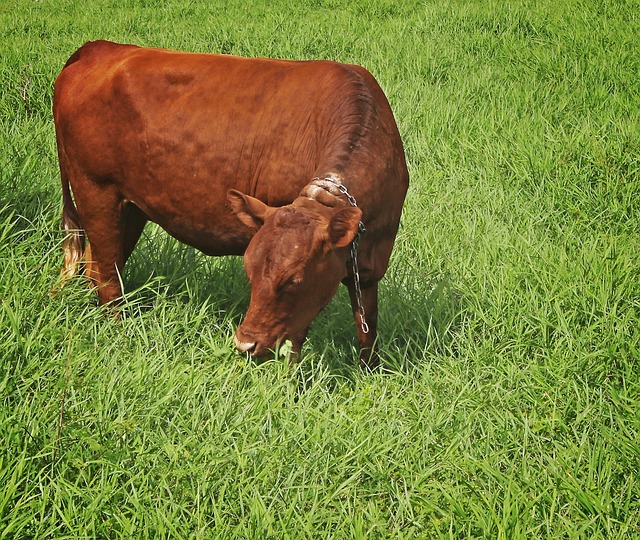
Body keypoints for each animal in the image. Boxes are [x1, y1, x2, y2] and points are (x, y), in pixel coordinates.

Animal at [52, 39, 408, 368]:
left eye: (294, 280)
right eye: (250, 273)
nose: (244, 344)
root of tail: (101, 48)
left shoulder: (370, 263)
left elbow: (367, 327)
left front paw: (369, 373)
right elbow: (295, 339)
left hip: (130, 207)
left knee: (96, 265)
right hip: (96, 191)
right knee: (106, 277)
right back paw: (117, 333)